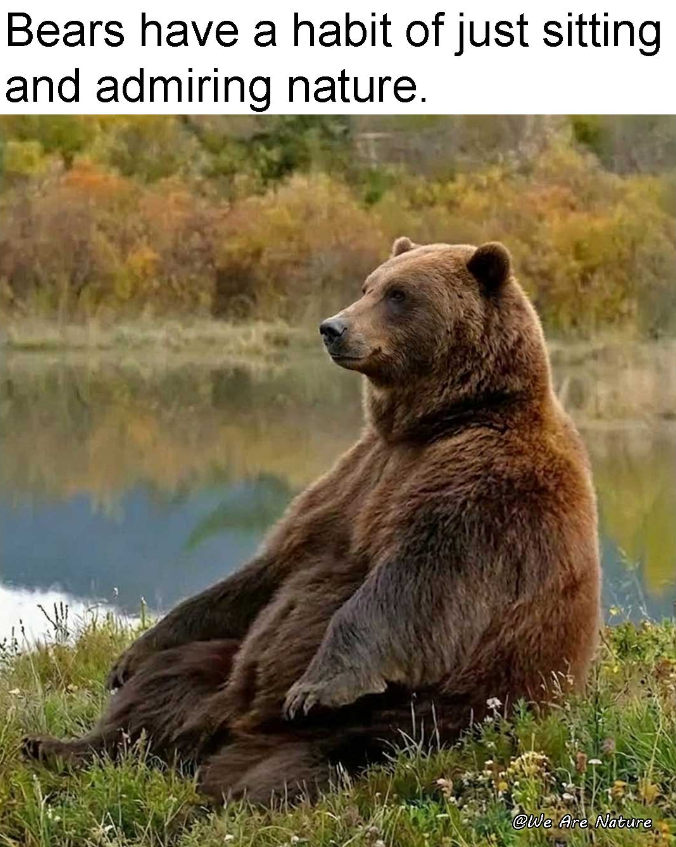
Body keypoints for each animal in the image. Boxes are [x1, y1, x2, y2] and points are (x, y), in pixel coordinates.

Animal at [23, 239, 601, 807]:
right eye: (368, 286)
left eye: (399, 294)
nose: (332, 327)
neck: (440, 420)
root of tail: (230, 727)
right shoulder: (359, 476)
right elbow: (278, 566)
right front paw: (130, 655)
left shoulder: (485, 484)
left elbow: (422, 579)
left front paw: (317, 686)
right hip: (224, 671)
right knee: (164, 688)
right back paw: (60, 746)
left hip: (412, 720)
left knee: (294, 769)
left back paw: (218, 792)